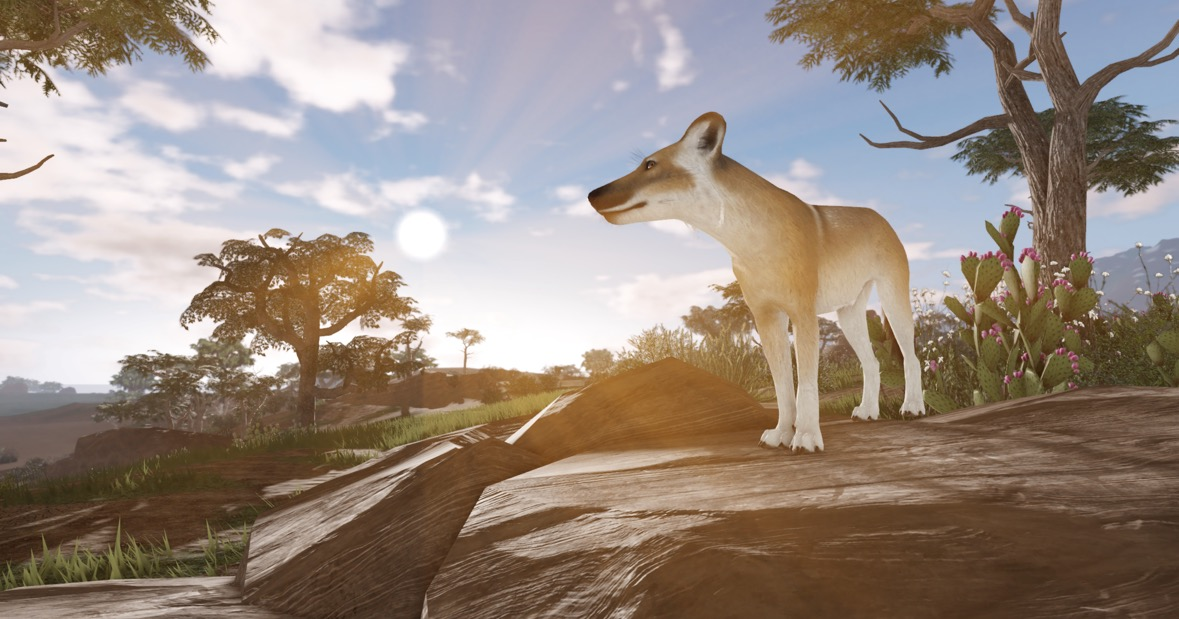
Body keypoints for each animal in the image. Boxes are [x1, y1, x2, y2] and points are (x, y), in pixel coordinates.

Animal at [587, 112, 925, 452]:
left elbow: (805, 386)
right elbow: (782, 387)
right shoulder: (766, 317)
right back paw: (867, 412)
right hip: (849, 314)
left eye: (650, 165)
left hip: (892, 301)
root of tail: (879, 216)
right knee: (872, 363)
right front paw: (780, 434)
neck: (750, 241)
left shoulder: (802, 315)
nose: (591, 194)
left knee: (911, 357)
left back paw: (912, 408)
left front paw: (805, 438)